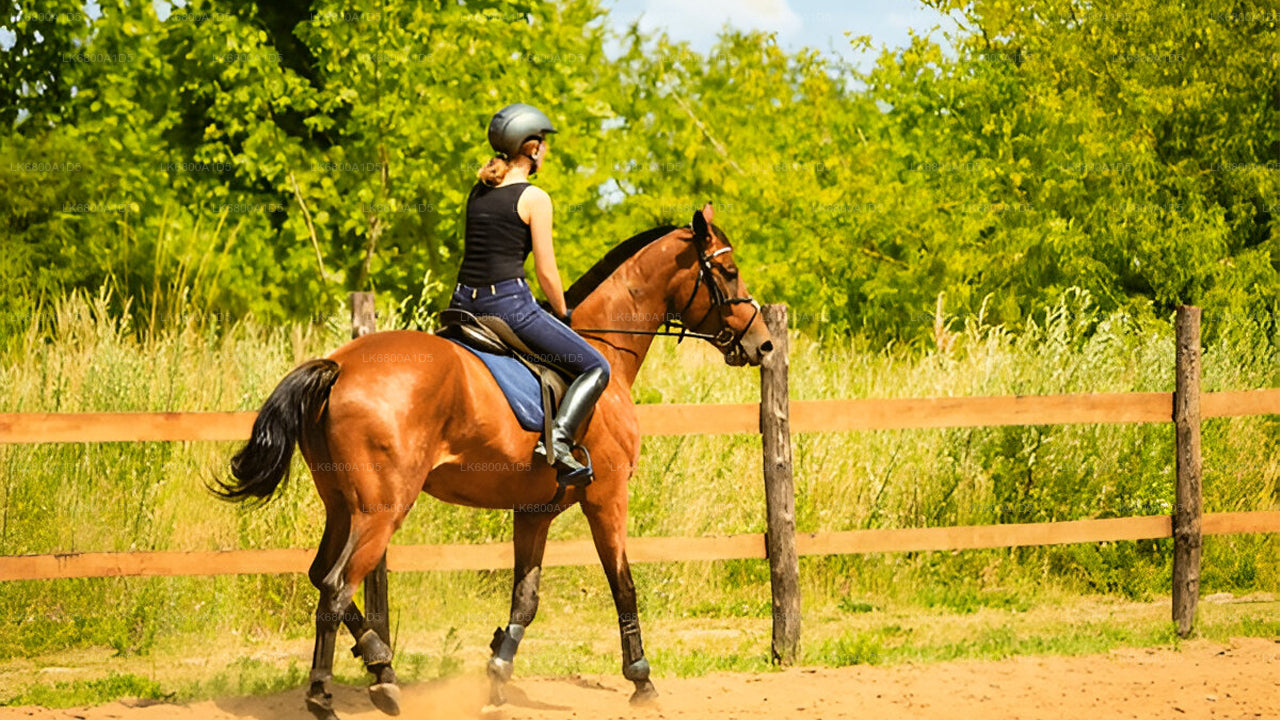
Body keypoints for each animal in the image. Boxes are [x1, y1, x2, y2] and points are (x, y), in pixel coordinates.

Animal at [212, 203, 773, 719]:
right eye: (727, 271)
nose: (762, 343)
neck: (604, 349)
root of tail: (339, 365)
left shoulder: (535, 511)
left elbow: (526, 597)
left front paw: (498, 676)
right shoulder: (607, 497)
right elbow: (624, 585)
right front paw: (641, 680)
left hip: (342, 507)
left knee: (321, 576)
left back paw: (381, 665)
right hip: (380, 511)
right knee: (333, 587)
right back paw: (328, 693)